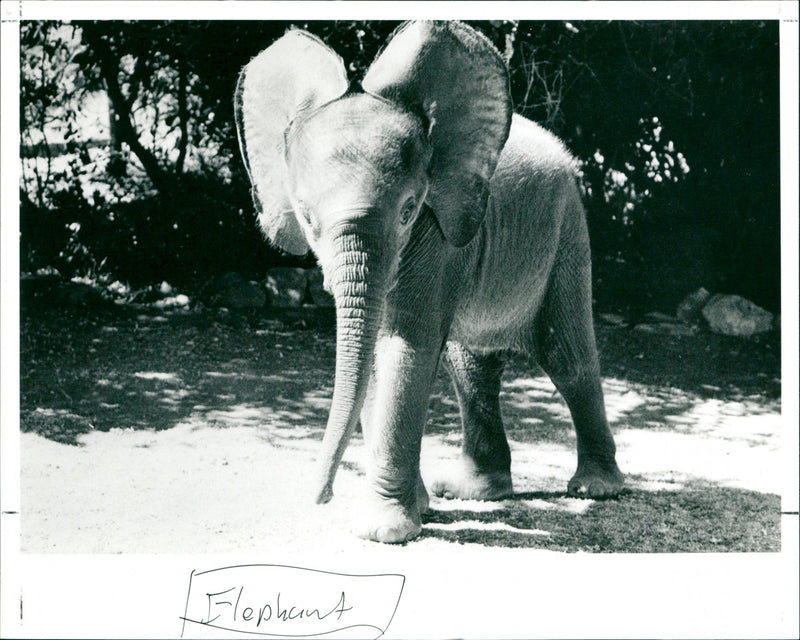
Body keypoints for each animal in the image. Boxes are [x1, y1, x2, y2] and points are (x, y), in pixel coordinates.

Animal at [235, 21, 624, 543]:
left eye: (407, 210)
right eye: (308, 220)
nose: (322, 496)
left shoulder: (438, 236)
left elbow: (405, 347)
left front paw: (384, 532)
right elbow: (376, 358)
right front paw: (417, 508)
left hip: (567, 234)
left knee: (567, 358)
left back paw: (596, 490)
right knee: (473, 369)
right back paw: (472, 492)